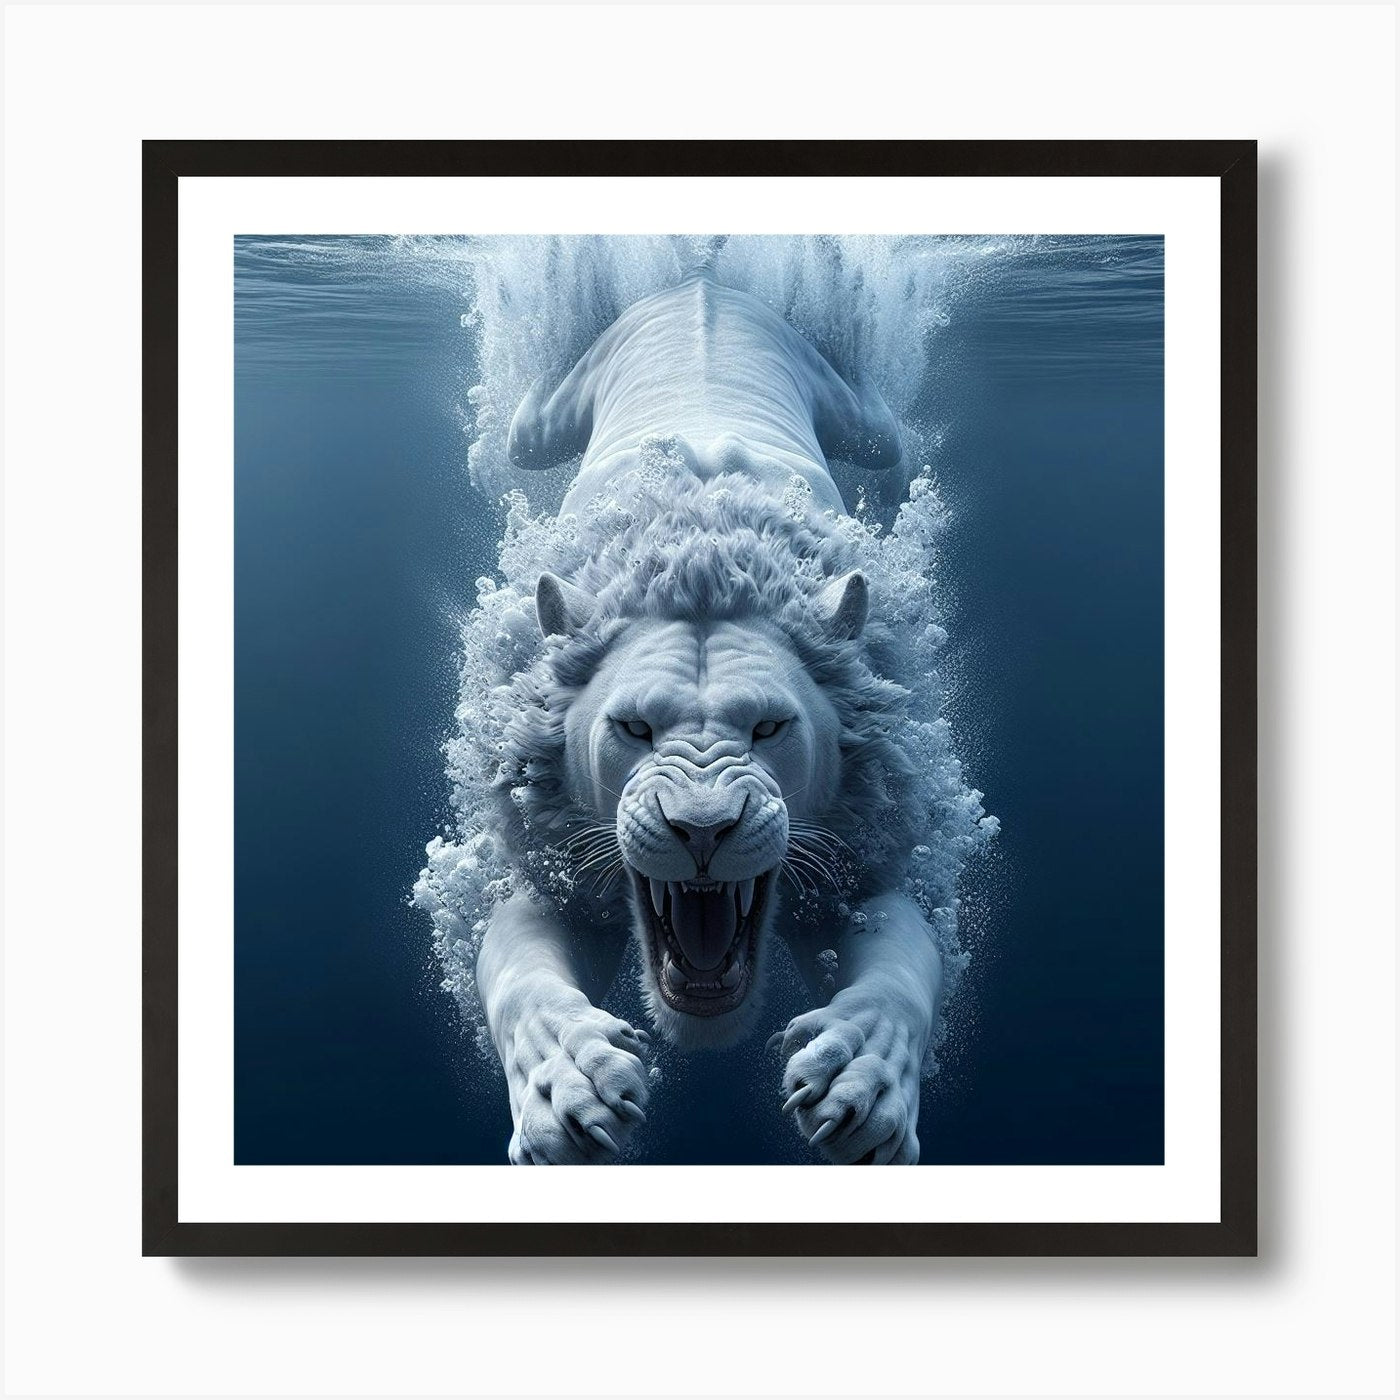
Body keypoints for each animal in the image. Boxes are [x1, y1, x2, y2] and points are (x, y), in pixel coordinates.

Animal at [415, 267, 994, 1165]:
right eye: (633, 728)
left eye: (769, 727)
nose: (702, 828)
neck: (702, 554)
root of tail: (701, 285)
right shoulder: (547, 853)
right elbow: (517, 971)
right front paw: (571, 1085)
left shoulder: (864, 847)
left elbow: (906, 959)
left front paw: (858, 1077)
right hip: (558, 415)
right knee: (521, 434)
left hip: (842, 407)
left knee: (882, 431)